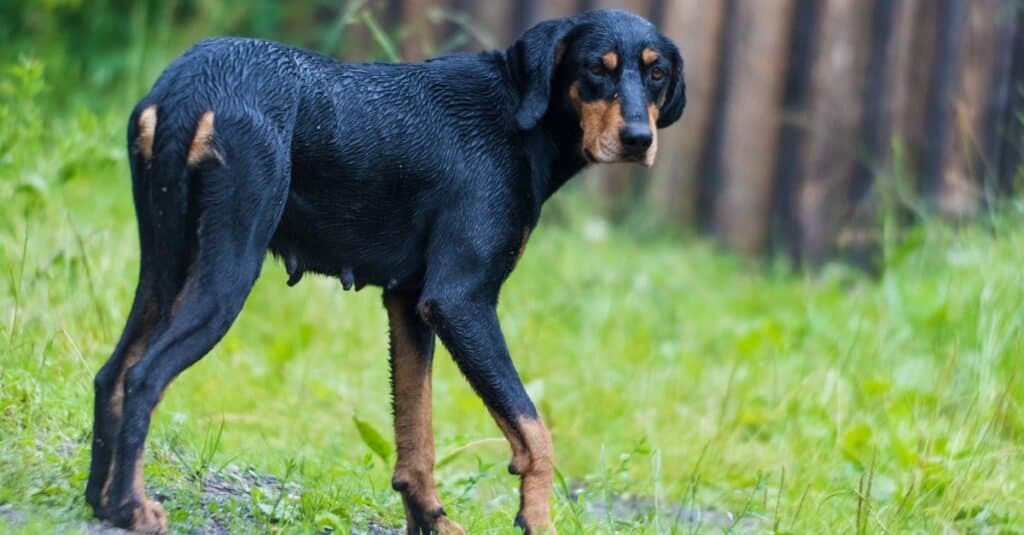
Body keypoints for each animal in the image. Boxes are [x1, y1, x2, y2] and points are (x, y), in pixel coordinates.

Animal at [86, 9, 679, 532]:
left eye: (657, 74)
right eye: (595, 68)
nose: (638, 139)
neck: (517, 115)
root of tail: (188, 85)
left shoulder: (409, 303)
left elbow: (417, 440)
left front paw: (432, 523)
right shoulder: (460, 301)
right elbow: (535, 431)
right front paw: (536, 518)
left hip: (164, 267)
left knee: (112, 372)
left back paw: (100, 501)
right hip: (227, 272)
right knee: (144, 376)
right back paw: (132, 509)